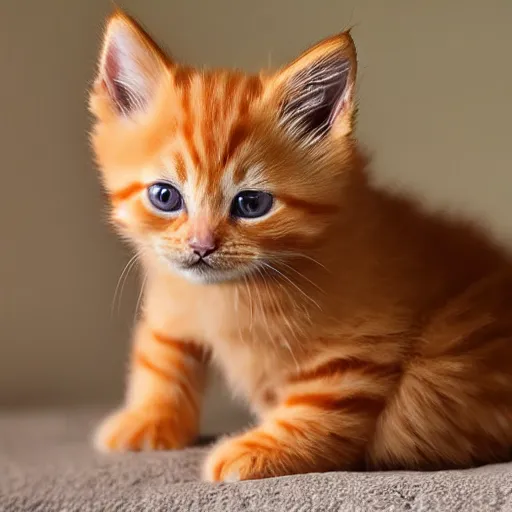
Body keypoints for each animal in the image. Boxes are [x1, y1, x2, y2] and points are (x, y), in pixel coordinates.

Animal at [90, 12, 512, 482]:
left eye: (251, 204)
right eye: (165, 196)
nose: (202, 246)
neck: (234, 291)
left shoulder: (362, 349)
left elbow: (320, 409)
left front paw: (253, 451)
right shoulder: (171, 290)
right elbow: (162, 349)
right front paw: (149, 419)